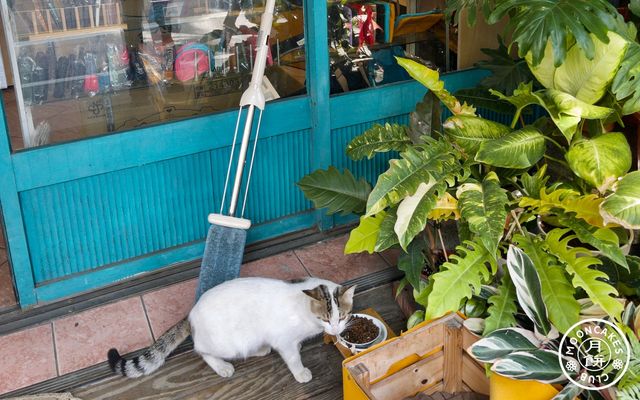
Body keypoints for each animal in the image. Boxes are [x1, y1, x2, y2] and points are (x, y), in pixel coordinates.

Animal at [105, 276, 356, 382]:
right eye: (325, 319)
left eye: (342, 317)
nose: (335, 329)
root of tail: (192, 313)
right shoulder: (284, 341)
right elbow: (293, 358)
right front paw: (301, 372)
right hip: (229, 344)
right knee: (201, 350)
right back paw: (222, 367)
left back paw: (261, 349)